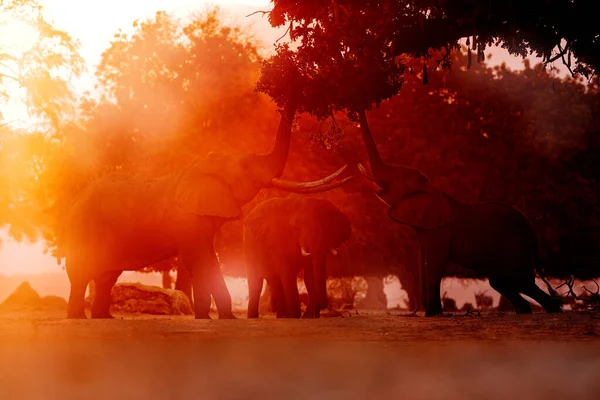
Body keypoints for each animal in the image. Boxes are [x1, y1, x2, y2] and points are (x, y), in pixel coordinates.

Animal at [57, 103, 352, 318]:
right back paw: (77, 318)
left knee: (106, 277)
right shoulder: (186, 220)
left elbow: (206, 258)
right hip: (83, 229)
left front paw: (215, 317)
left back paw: (103, 318)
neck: (198, 167)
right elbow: (199, 259)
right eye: (246, 167)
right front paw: (215, 317)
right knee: (82, 274)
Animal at [354, 109, 560, 316]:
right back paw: (526, 311)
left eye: (397, 177)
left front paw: (433, 314)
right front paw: (431, 313)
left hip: (515, 245)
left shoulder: (440, 231)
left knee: (519, 280)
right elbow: (423, 265)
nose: (359, 109)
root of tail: (533, 233)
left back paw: (553, 309)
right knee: (500, 281)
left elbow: (433, 266)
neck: (432, 188)